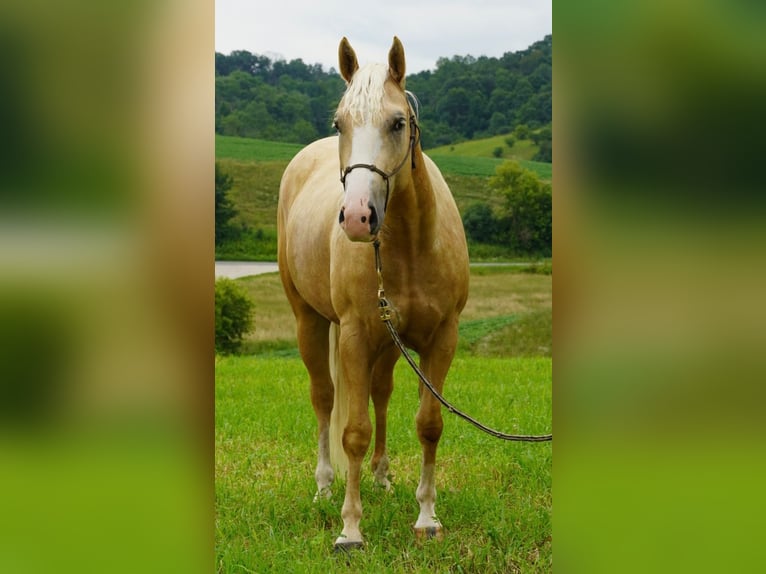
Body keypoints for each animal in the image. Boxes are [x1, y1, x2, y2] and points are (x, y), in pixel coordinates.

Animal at [277, 36, 469, 550]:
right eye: (339, 124)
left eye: (397, 122)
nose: (359, 217)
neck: (412, 246)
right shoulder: (355, 338)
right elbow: (354, 432)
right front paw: (350, 528)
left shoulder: (441, 340)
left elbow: (429, 424)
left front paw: (426, 516)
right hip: (311, 322)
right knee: (324, 399)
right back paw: (325, 485)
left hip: (388, 344)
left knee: (381, 395)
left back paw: (381, 476)